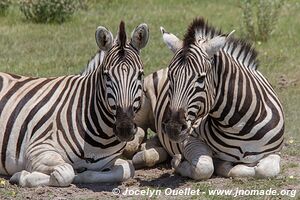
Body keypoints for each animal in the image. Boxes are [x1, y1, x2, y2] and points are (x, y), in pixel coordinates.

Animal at [0, 21, 149, 187]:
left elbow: (128, 169)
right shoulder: (38, 149)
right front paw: (23, 176)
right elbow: (65, 173)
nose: (124, 129)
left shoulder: (109, 161)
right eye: (106, 75)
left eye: (140, 75)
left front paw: (82, 174)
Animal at [133, 16, 284, 180]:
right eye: (170, 77)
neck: (240, 126)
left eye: (201, 78)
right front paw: (178, 162)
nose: (173, 128)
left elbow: (265, 169)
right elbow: (204, 168)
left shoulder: (274, 151)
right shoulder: (190, 138)